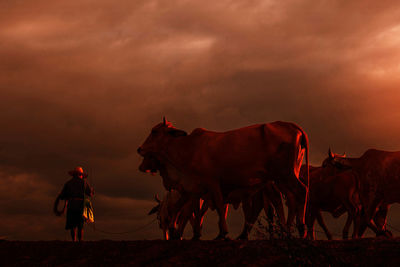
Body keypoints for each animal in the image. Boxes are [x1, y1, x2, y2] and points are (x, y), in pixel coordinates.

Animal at [138, 118, 310, 240]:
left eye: (154, 131)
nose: (140, 149)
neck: (189, 148)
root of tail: (290, 125)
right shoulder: (196, 189)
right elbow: (192, 212)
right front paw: (188, 234)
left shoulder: (211, 183)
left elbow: (218, 207)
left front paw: (222, 233)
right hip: (283, 177)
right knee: (289, 199)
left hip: (284, 175)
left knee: (300, 192)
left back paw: (300, 229)